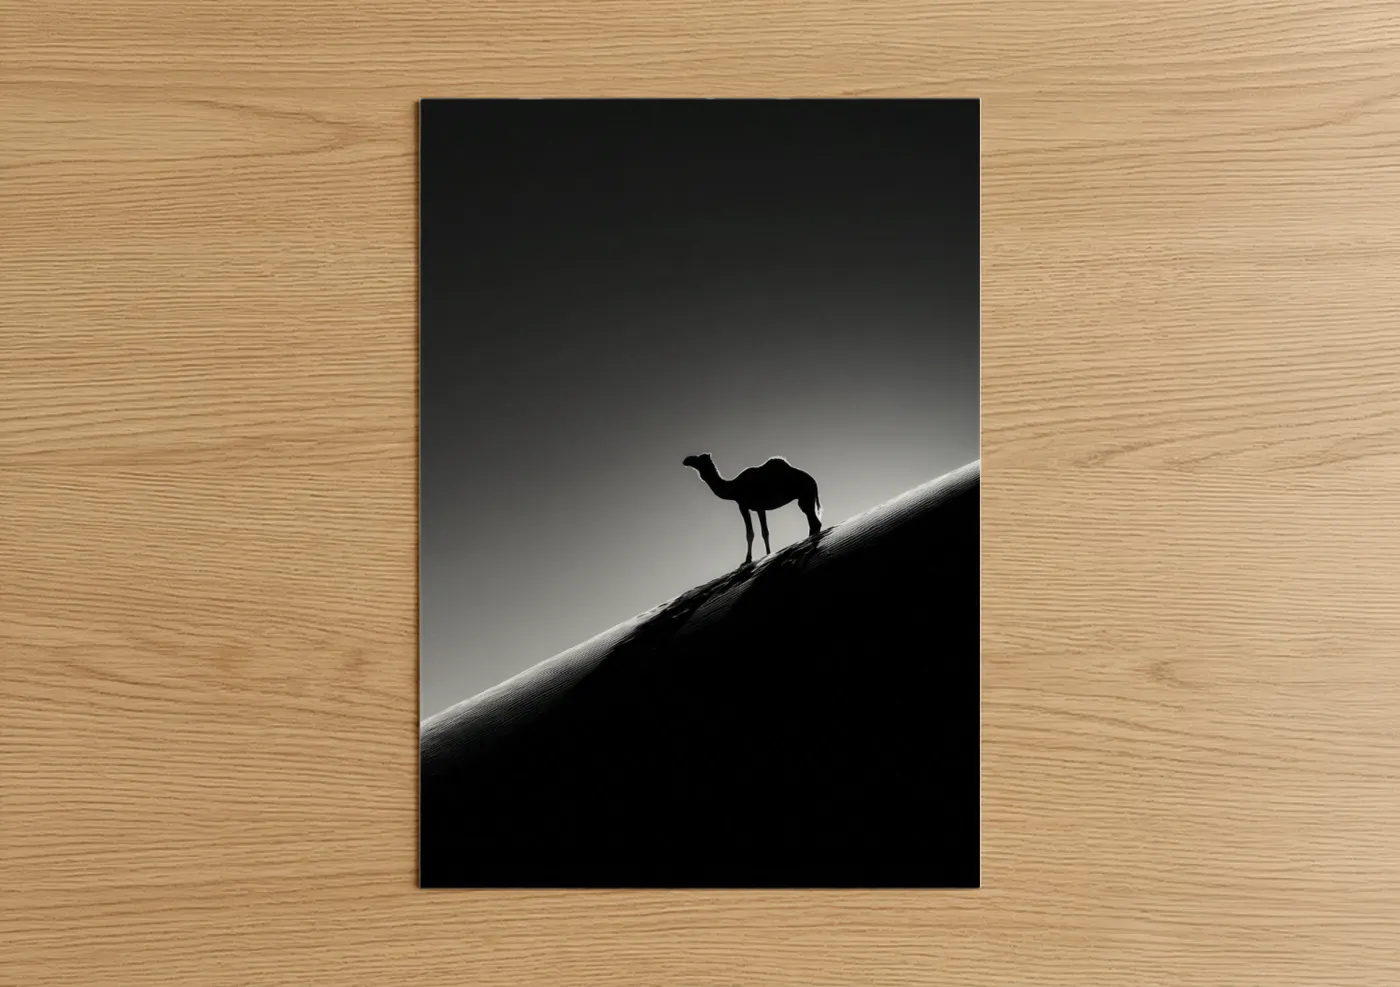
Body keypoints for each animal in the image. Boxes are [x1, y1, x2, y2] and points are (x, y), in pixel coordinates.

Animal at [682, 453, 823, 565]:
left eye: (699, 458)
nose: (686, 460)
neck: (733, 488)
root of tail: (813, 480)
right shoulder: (760, 508)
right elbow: (765, 532)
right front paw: (768, 554)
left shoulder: (743, 505)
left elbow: (750, 533)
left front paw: (747, 560)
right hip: (805, 497)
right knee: (813, 521)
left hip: (805, 494)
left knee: (814, 521)